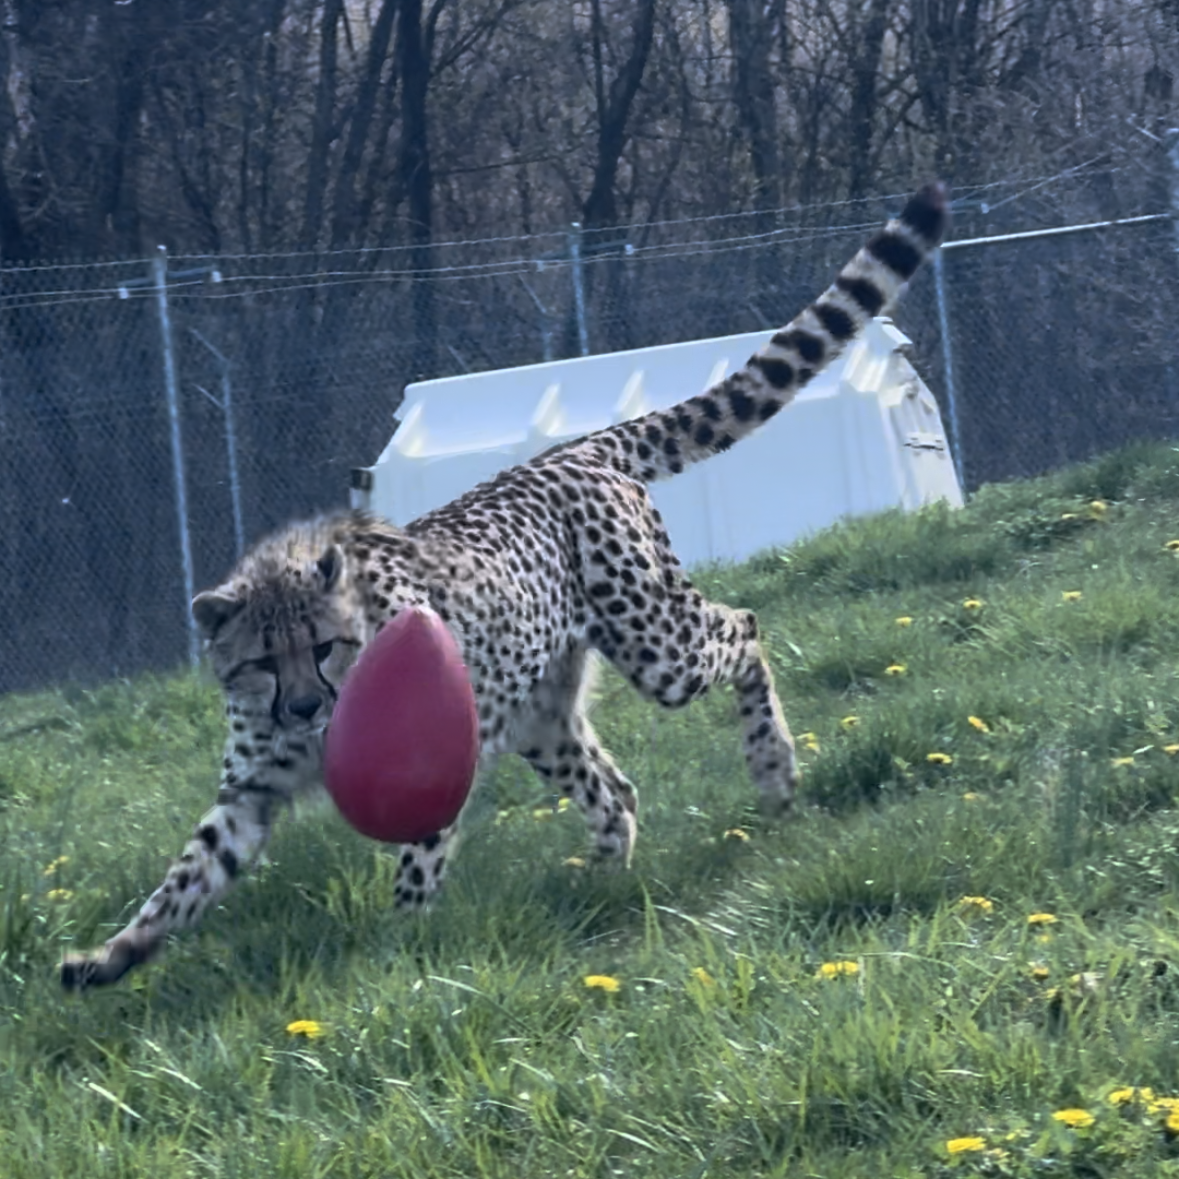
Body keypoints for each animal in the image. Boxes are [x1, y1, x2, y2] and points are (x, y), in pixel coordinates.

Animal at [62, 179, 947, 990]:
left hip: (655, 646)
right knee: (615, 789)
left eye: (324, 647)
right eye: (258, 661)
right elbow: (185, 875)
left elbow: (416, 862)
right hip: (538, 714)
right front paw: (109, 956)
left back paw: (772, 770)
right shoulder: (249, 788)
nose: (307, 708)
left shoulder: (432, 757)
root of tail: (572, 449)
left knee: (745, 627)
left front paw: (396, 954)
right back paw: (603, 876)